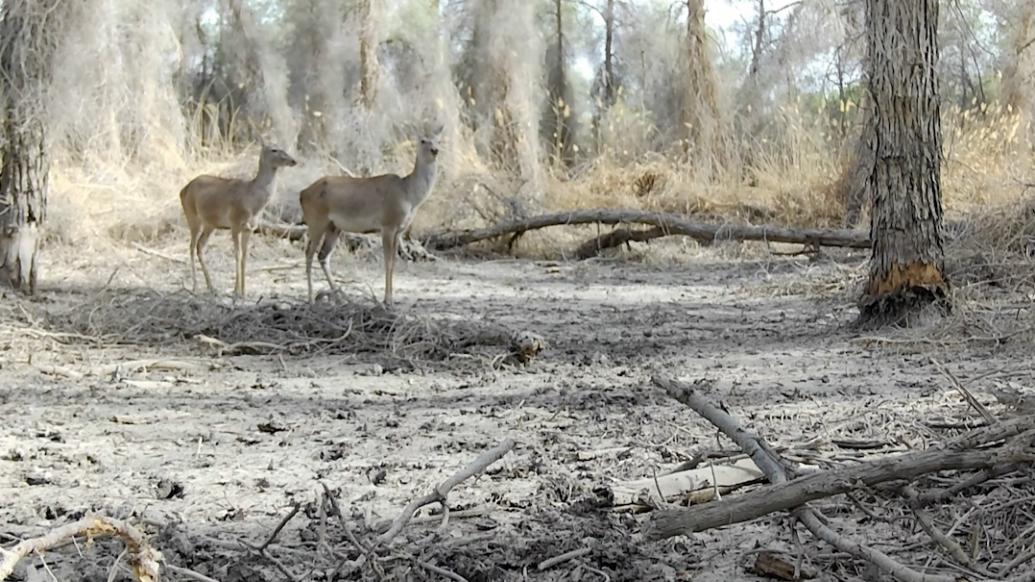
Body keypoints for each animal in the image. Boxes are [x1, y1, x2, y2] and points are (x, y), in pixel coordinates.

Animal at [178, 142, 298, 296]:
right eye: (274, 150)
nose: (293, 160)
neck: (253, 203)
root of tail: (182, 190)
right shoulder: (234, 223)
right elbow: (237, 254)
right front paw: (236, 290)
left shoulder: (249, 228)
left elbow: (245, 257)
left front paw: (244, 291)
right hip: (192, 216)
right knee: (192, 247)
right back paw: (195, 287)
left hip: (210, 224)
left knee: (200, 246)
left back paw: (211, 286)